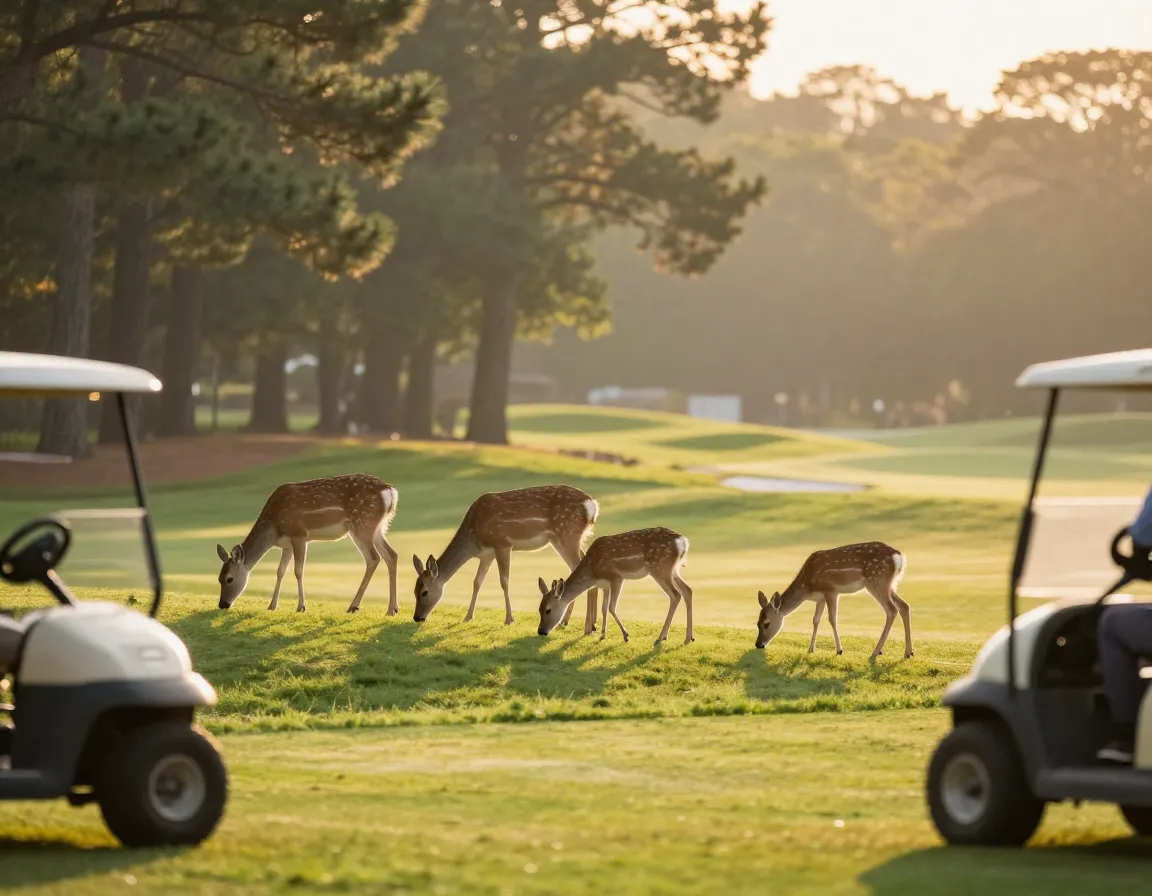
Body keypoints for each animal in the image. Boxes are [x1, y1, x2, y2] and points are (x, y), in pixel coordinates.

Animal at [216, 473, 399, 615]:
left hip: (361, 524)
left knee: (373, 558)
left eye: (229, 579)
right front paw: (272, 606)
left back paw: (353, 606)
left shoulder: (299, 534)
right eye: (219, 578)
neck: (273, 526)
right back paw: (392, 609)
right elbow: (280, 571)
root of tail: (390, 491)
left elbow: (298, 570)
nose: (222, 604)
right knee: (392, 555)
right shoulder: (287, 544)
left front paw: (301, 607)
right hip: (377, 527)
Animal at [412, 484, 599, 631]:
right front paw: (468, 616)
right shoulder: (486, 554)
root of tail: (592, 505)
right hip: (569, 538)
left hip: (566, 533)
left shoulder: (502, 543)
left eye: (424, 592)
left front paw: (509, 619)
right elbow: (477, 582)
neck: (473, 537)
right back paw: (585, 624)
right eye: (414, 591)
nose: (417, 617)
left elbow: (504, 581)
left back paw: (579, 625)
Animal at [537, 526, 694, 646]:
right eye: (539, 609)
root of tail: (683, 542)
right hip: (673, 570)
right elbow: (604, 608)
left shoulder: (616, 577)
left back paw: (661, 637)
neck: (592, 572)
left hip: (659, 568)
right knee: (688, 590)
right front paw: (602, 635)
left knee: (675, 594)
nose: (540, 631)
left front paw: (625, 635)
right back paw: (688, 638)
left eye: (548, 610)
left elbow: (612, 607)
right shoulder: (605, 584)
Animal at [754, 541, 912, 661]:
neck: (807, 586)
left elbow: (832, 619)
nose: (758, 644)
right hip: (889, 584)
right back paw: (908, 652)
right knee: (904, 606)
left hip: (877, 580)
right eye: (757, 623)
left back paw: (876, 651)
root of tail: (899, 557)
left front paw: (839, 650)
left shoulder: (831, 590)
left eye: (766, 624)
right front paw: (810, 649)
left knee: (891, 610)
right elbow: (815, 620)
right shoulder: (820, 598)